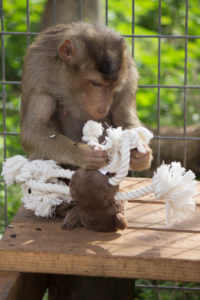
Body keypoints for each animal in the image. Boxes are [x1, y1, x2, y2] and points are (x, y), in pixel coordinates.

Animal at [20, 22, 152, 175]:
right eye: (95, 84)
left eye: (114, 86)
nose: (103, 107)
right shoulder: (37, 67)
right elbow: (33, 129)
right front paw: (82, 154)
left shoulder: (129, 71)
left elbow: (124, 120)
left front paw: (142, 156)